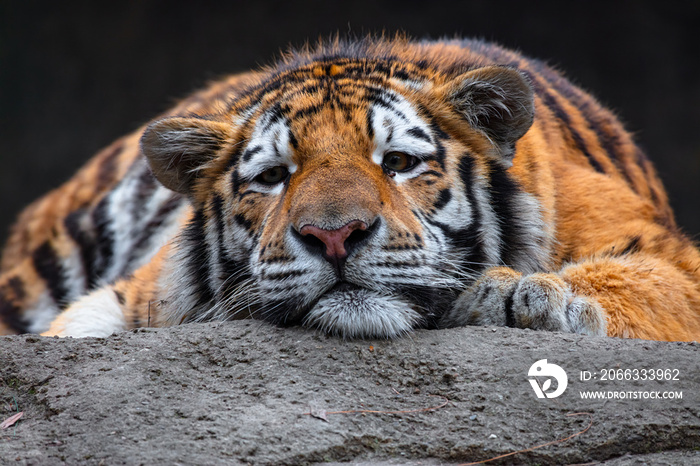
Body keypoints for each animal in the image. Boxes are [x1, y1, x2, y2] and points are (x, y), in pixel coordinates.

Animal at [1, 37, 700, 342]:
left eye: (398, 162)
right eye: (272, 177)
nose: (334, 236)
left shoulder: (670, 254)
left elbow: (638, 281)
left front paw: (526, 295)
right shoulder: (131, 293)